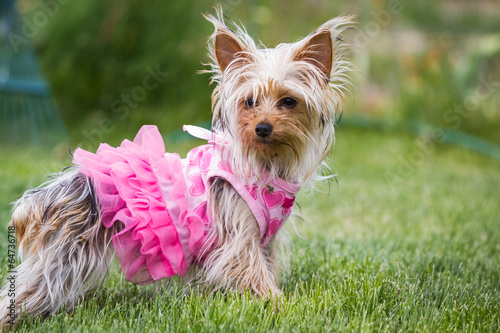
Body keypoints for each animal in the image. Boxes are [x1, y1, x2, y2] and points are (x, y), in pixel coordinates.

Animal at [0, 7, 356, 326]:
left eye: (289, 101)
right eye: (249, 102)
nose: (263, 128)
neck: (266, 165)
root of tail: (51, 191)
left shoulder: (262, 240)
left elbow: (265, 268)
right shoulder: (238, 237)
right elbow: (253, 274)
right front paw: (278, 305)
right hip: (66, 257)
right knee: (24, 292)